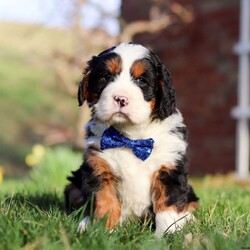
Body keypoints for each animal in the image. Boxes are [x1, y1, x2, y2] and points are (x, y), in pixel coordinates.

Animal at [65, 42, 199, 236]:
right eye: (106, 76)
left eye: (141, 80)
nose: (121, 98)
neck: (131, 137)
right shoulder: (100, 168)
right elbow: (105, 202)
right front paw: (104, 231)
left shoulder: (169, 167)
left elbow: (168, 204)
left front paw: (168, 234)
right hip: (73, 188)